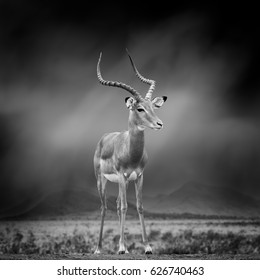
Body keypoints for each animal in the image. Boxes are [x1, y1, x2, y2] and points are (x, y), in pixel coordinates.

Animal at [93, 49, 167, 254]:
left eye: (153, 107)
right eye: (140, 108)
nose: (159, 124)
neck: (131, 153)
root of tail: (103, 138)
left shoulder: (139, 176)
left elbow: (139, 207)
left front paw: (147, 247)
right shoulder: (121, 174)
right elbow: (126, 207)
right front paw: (121, 247)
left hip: (122, 182)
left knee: (118, 205)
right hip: (102, 179)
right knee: (105, 207)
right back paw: (99, 248)